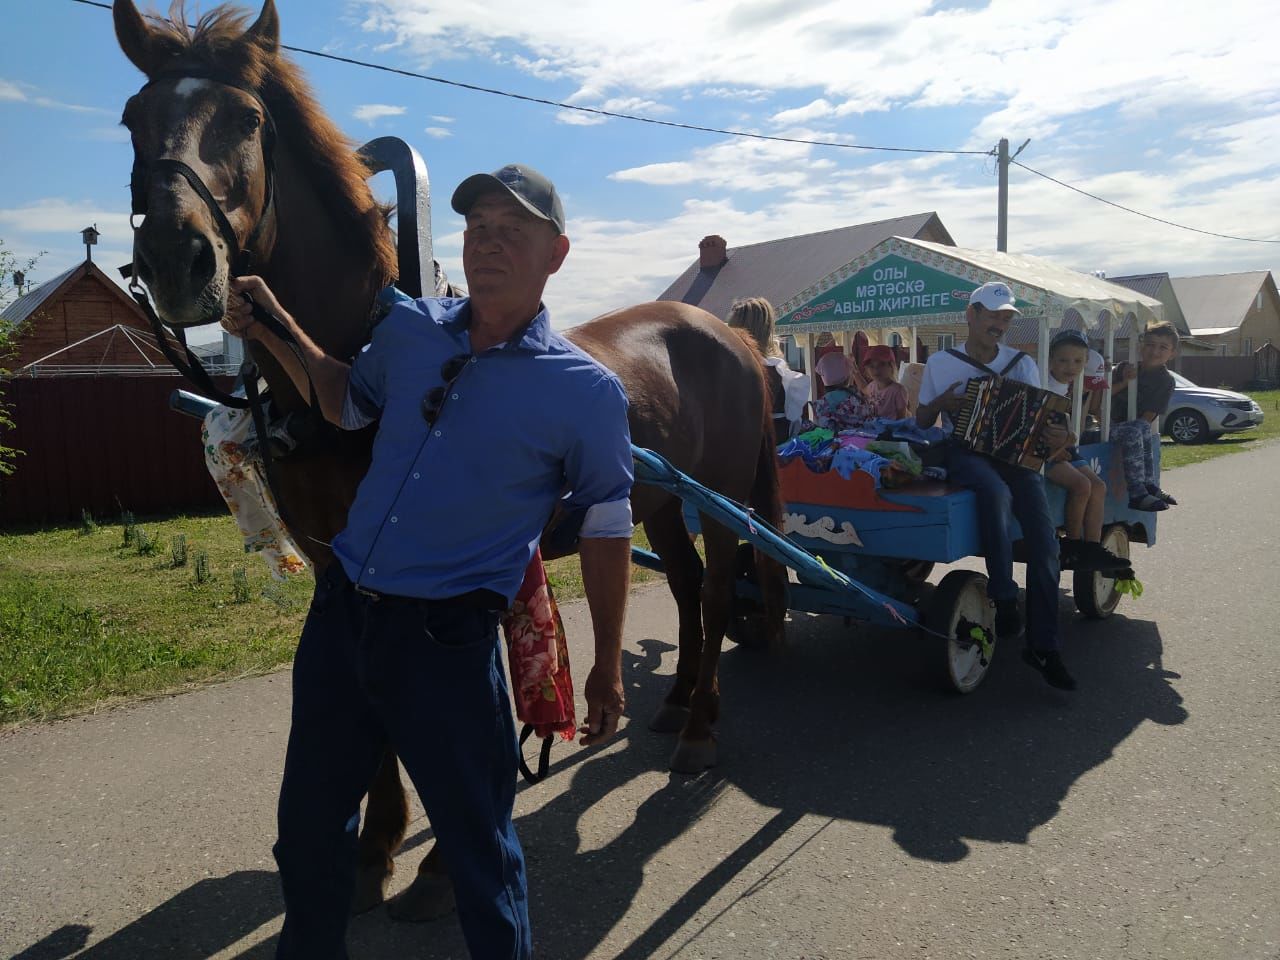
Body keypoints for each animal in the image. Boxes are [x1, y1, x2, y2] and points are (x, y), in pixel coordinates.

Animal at [112, 0, 788, 926]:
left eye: (245, 121)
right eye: (132, 120)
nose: (178, 262)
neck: (356, 357)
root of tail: (733, 337)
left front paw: (428, 865)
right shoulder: (341, 561)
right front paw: (375, 848)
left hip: (720, 499)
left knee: (718, 593)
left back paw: (700, 726)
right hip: (652, 502)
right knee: (684, 587)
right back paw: (680, 695)